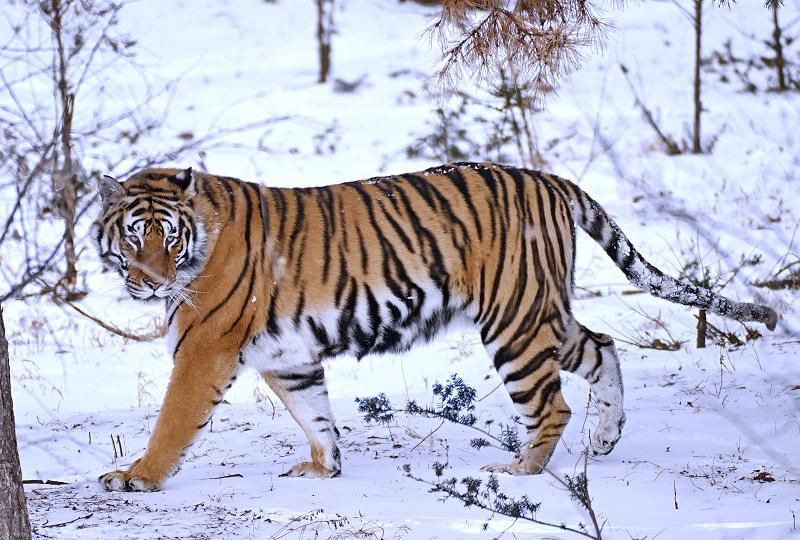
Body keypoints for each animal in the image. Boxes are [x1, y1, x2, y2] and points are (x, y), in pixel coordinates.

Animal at [89, 162, 776, 492]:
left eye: (167, 238)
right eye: (134, 236)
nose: (149, 283)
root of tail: (550, 179)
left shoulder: (204, 348)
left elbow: (174, 420)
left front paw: (136, 478)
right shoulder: (289, 356)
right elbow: (316, 414)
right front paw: (324, 469)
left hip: (514, 321)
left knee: (550, 404)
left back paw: (521, 470)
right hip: (546, 313)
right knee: (602, 347)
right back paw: (604, 440)